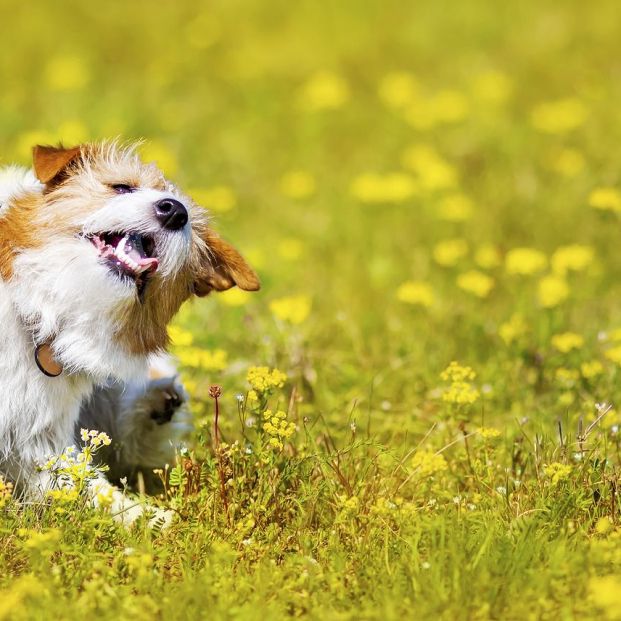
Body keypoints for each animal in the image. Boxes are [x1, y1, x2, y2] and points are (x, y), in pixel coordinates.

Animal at [0, 142, 260, 524]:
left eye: (187, 223)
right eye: (122, 188)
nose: (175, 210)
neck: (45, 311)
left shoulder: (40, 444)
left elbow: (89, 488)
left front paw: (153, 521)